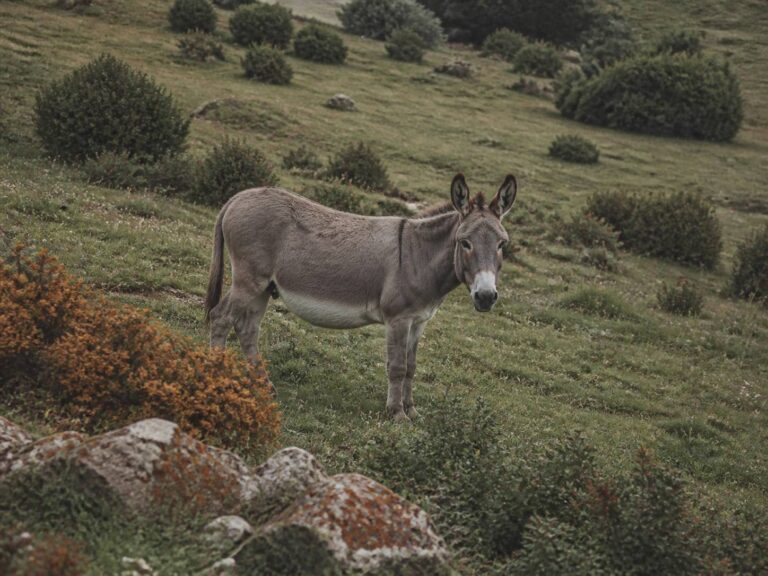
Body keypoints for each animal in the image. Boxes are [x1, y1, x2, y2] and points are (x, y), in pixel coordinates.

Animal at [206, 173, 517, 420]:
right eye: (465, 243)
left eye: (502, 244)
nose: (486, 297)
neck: (418, 255)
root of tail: (237, 197)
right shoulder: (398, 319)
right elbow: (397, 366)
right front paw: (397, 414)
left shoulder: (419, 321)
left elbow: (412, 367)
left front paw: (412, 410)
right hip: (248, 280)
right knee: (220, 318)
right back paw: (216, 376)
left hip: (263, 288)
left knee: (247, 328)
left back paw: (264, 385)